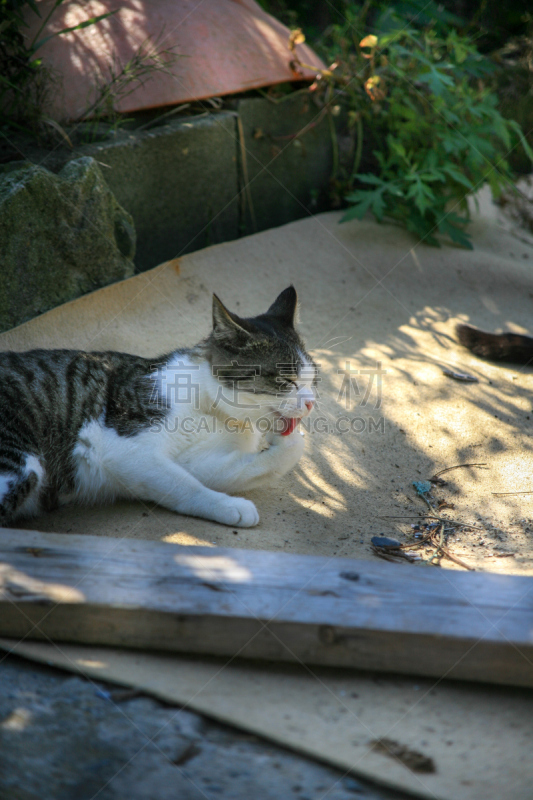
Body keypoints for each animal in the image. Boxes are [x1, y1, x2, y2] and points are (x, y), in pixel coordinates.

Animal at [0, 288, 316, 532]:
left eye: (313, 378)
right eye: (286, 380)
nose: (311, 402)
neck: (212, 408)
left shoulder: (199, 461)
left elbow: (233, 469)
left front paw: (286, 441)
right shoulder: (124, 450)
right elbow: (185, 486)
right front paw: (230, 505)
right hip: (20, 464)